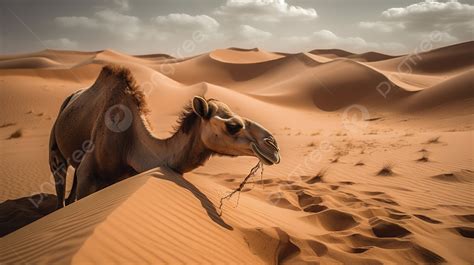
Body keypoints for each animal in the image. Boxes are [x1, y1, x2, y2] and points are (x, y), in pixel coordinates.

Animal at [49, 65, 282, 208]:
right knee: (60, 185)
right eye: (233, 126)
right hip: (56, 151)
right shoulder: (89, 175)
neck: (129, 144)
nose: (273, 146)